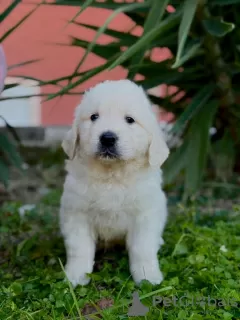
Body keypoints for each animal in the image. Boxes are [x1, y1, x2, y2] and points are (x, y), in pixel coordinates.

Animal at [59, 79, 169, 286]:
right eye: (94, 117)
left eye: (130, 120)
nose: (108, 138)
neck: (112, 175)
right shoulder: (77, 213)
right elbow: (80, 248)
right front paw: (76, 276)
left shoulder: (145, 214)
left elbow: (142, 248)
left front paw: (147, 277)